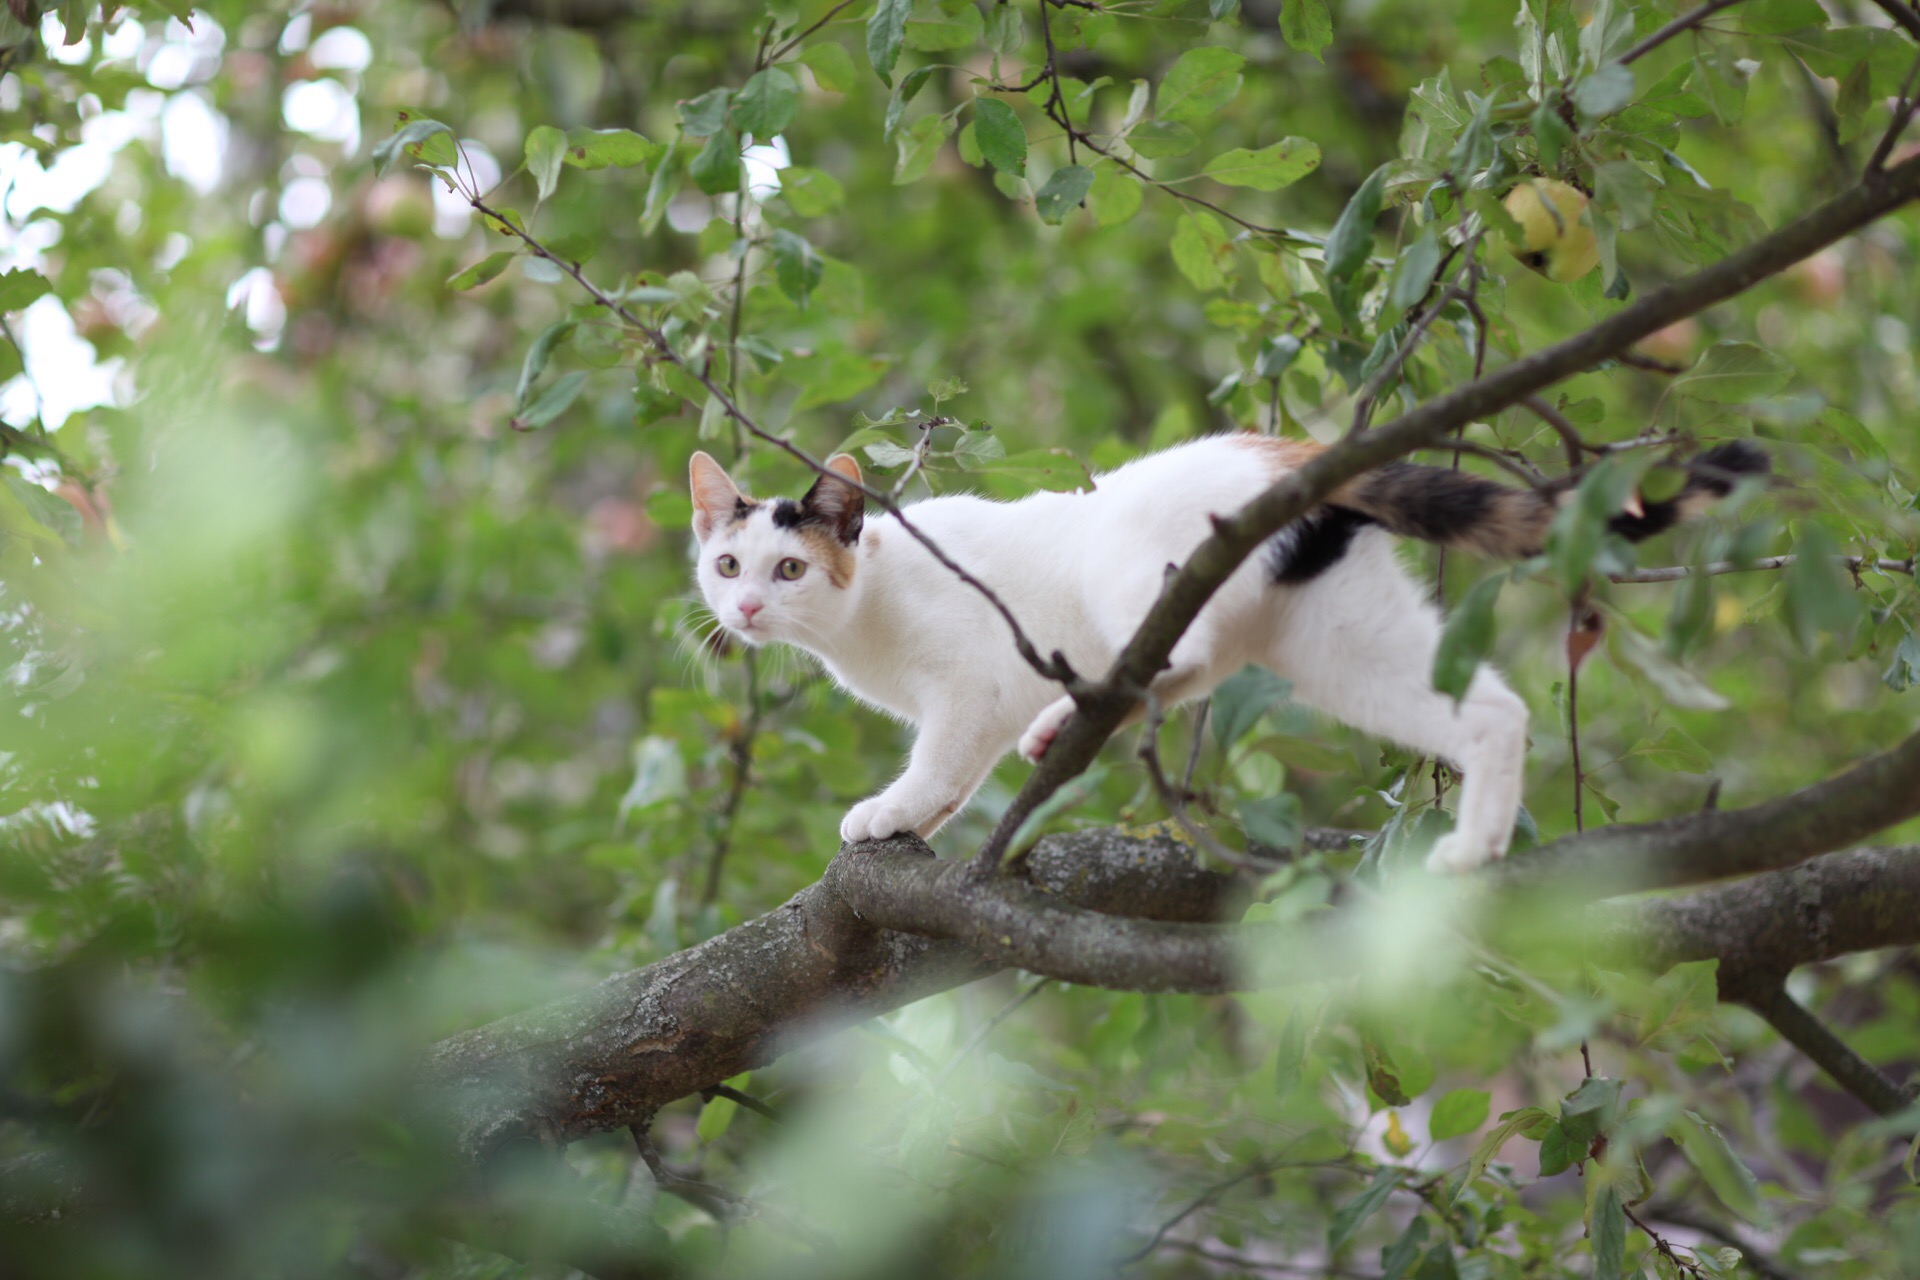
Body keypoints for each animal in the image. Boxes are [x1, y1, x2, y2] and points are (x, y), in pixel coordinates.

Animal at [691, 435, 1766, 875]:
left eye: (790, 568)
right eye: (726, 562)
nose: (743, 607)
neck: (863, 612)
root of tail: (1288, 455)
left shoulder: (967, 683)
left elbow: (939, 760)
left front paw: (889, 812)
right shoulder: (976, 707)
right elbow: (957, 779)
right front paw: (921, 816)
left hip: (1141, 570)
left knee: (1183, 652)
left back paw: (1081, 705)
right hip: (1342, 642)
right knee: (1494, 710)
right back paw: (1478, 847)